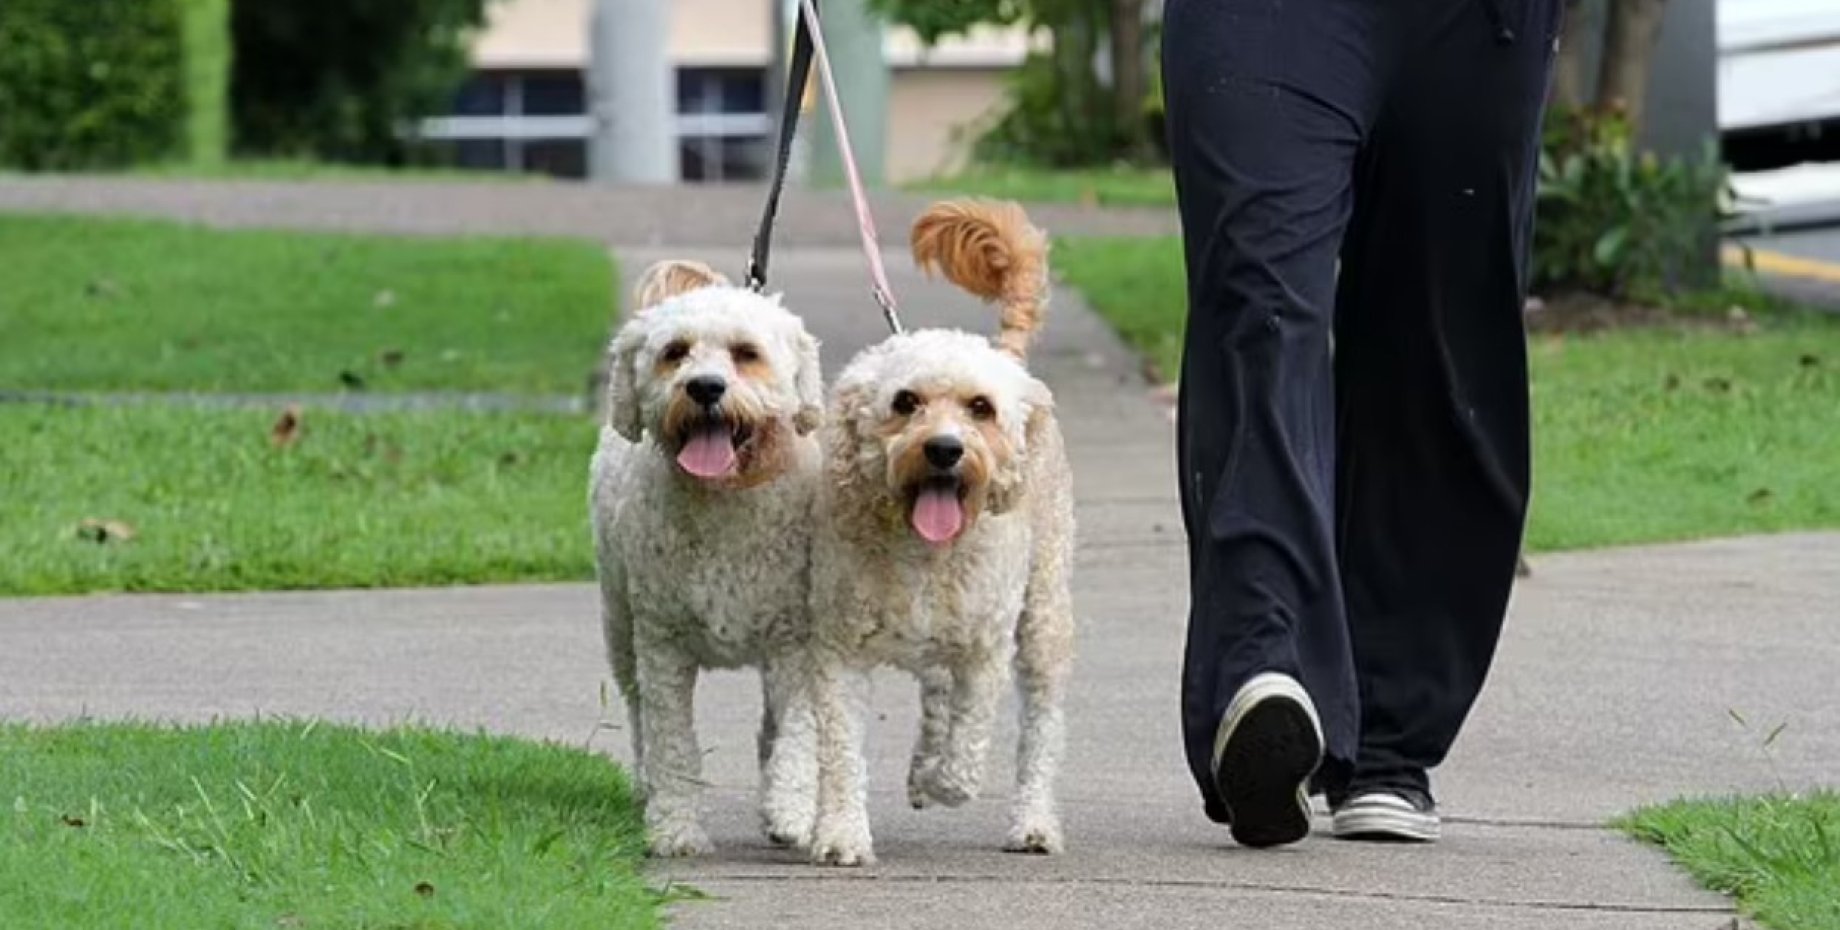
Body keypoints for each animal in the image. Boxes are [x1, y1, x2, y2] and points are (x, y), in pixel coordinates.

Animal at [592, 259, 824, 854]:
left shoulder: (798, 640)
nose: (704, 387)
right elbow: (672, 741)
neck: (727, 498)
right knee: (638, 715)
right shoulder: (662, 643)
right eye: (675, 352)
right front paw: (675, 826)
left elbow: (798, 730)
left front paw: (792, 808)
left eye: (746, 352)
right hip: (620, 627)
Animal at [809, 199, 1074, 865]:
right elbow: (842, 751)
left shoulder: (985, 649)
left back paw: (1033, 821)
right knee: (934, 693)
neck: (924, 553)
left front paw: (944, 781)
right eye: (906, 402)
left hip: (1044, 616)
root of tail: (1011, 360)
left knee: (1040, 727)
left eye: (980, 408)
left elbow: (969, 743)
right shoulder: (839, 650)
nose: (945, 450)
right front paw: (842, 833)